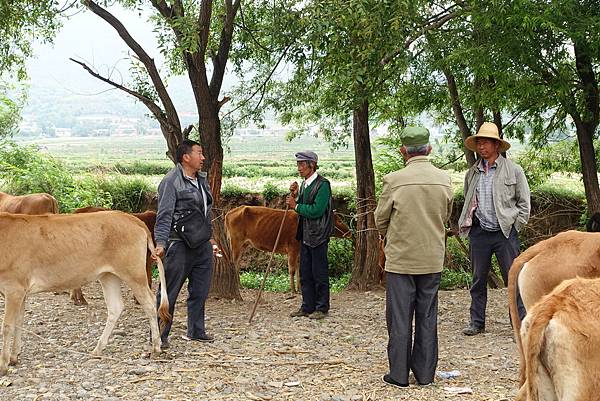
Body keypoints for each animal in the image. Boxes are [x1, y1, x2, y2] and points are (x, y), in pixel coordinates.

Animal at [0, 209, 170, 376]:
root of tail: (131, 218)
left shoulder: (14, 288)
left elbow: (7, 326)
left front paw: (3, 366)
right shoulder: (21, 291)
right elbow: (19, 322)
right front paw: (14, 358)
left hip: (134, 273)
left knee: (150, 303)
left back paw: (156, 347)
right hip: (109, 275)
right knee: (116, 307)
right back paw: (98, 349)